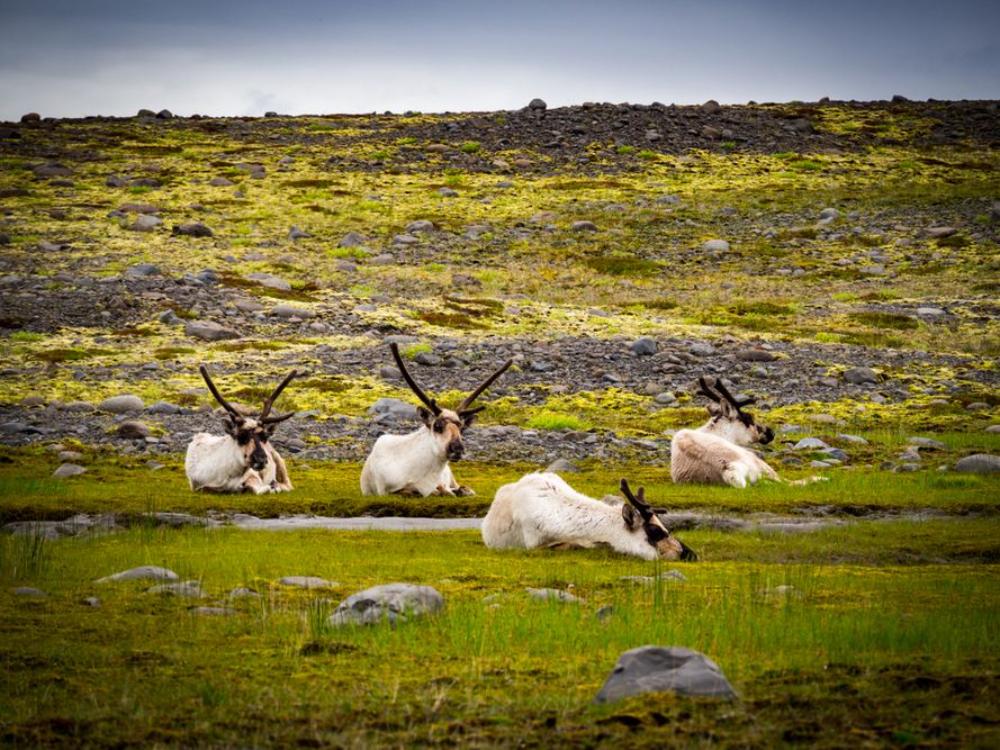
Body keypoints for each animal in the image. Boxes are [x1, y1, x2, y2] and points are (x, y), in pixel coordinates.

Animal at [185, 364, 298, 494]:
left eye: (264, 437)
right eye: (241, 436)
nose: (261, 460)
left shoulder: (253, 477)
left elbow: (261, 489)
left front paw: (273, 487)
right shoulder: (196, 485)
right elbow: (205, 488)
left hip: (279, 461)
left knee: (287, 484)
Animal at [360, 343, 512, 497]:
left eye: (461, 428)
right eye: (437, 426)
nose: (457, 449)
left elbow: (452, 489)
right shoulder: (385, 490)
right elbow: (419, 490)